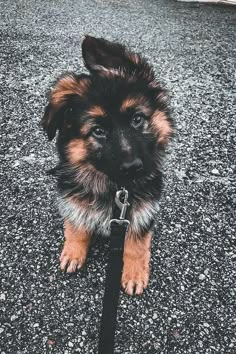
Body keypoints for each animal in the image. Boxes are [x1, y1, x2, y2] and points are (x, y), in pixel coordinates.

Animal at [41, 36, 172, 296]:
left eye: (137, 119)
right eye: (98, 131)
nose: (133, 167)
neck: (113, 187)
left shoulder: (141, 210)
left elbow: (136, 244)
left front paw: (134, 273)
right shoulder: (72, 197)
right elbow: (75, 227)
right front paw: (73, 252)